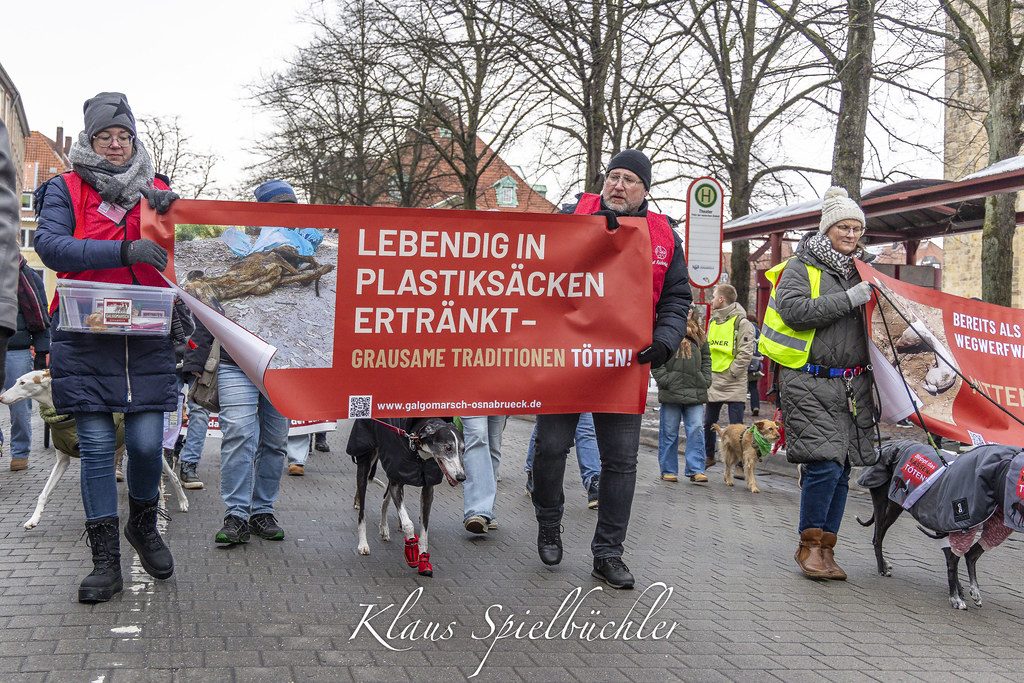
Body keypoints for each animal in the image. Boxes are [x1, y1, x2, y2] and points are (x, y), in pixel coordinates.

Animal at [0, 370, 189, 529]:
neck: (64, 417)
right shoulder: (62, 461)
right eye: (16, 381)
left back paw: (181, 502)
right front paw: (33, 519)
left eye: (23, 382)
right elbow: (44, 493)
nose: (1, 397)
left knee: (171, 477)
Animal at [346, 417, 466, 576]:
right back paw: (363, 543)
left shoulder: (426, 489)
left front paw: (423, 559)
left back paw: (384, 527)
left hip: (394, 474)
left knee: (385, 499)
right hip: (365, 466)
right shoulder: (397, 485)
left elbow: (424, 530)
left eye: (463, 450)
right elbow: (408, 524)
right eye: (448, 448)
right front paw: (412, 550)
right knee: (362, 513)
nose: (461, 477)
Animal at [856, 440, 1022, 609]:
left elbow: (957, 558)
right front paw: (955, 597)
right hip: (882, 502)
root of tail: (891, 443)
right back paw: (882, 568)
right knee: (877, 537)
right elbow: (953, 562)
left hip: (895, 506)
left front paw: (961, 590)